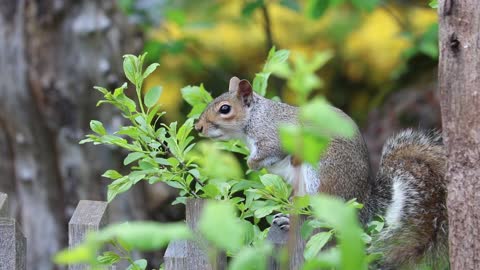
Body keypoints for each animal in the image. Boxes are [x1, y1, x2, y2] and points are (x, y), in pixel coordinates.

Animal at [193, 76, 448, 268]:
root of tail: (363, 204)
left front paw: (251, 163)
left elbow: (270, 151)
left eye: (225, 109)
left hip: (321, 174)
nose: (198, 127)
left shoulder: (274, 137)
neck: (256, 117)